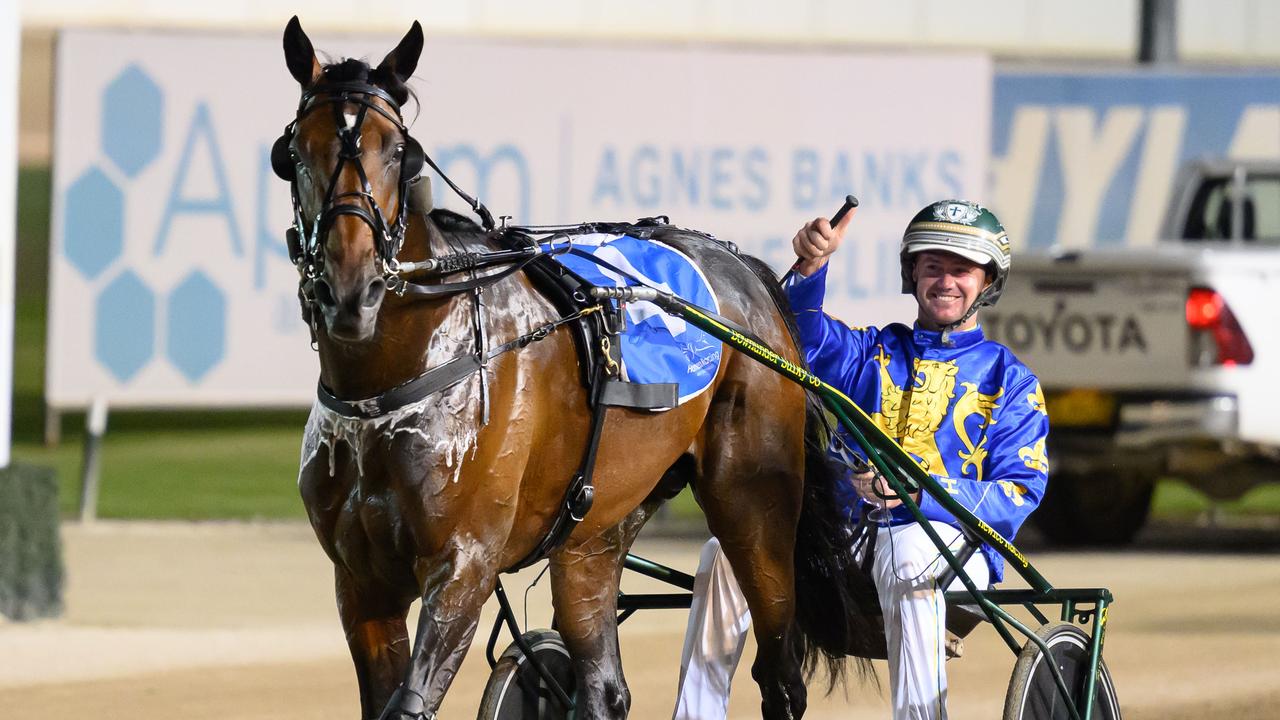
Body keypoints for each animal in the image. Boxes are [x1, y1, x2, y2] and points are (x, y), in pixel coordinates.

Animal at [276, 16, 875, 717]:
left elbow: (413, 697)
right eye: (296, 153)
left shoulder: (461, 567)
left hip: (755, 505)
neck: (387, 383)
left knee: (779, 673)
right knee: (603, 682)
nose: (352, 290)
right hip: (601, 522)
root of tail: (746, 274)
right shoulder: (361, 582)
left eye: (398, 151)